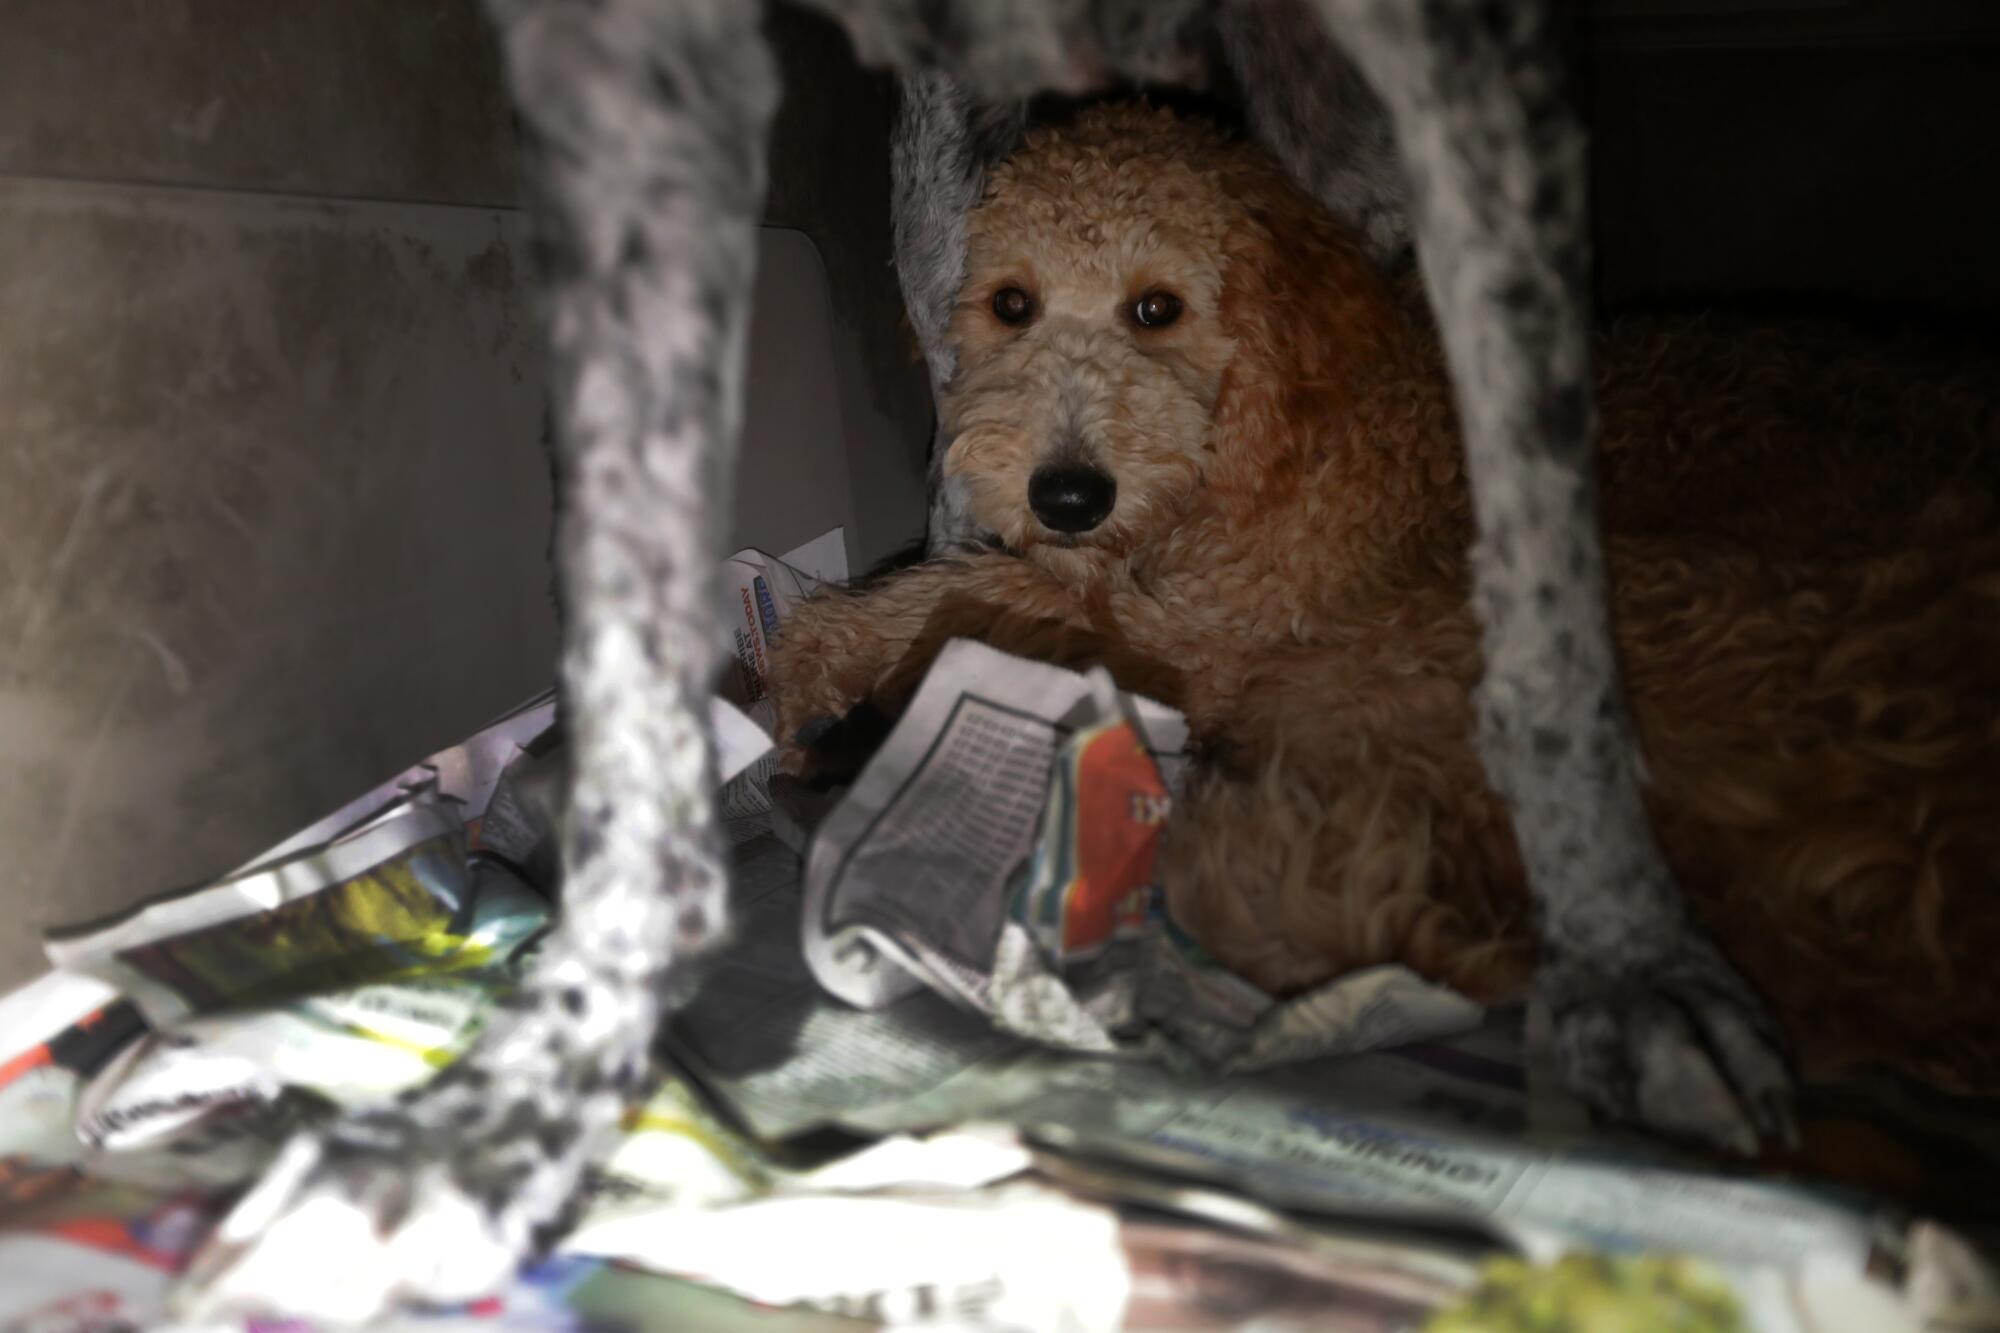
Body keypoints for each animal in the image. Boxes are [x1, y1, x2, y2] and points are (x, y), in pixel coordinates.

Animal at [772, 101, 2000, 1080]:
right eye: (1011, 305)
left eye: (1157, 308)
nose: (1066, 493)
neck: (1283, 420)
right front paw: (813, 662)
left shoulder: (1223, 635)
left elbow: (1000, 594)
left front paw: (821, 661)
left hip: (1452, 650)